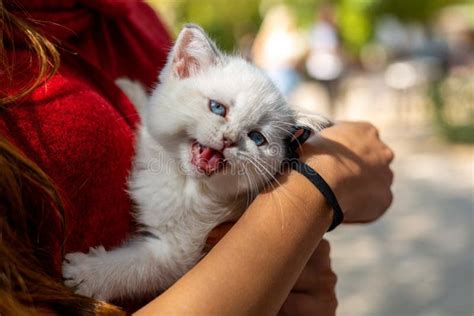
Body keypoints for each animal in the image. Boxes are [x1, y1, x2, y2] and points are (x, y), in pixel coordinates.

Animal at [62, 24, 330, 302]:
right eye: (217, 108)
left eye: (257, 138)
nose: (229, 139)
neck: (183, 180)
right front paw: (129, 89)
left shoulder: (179, 252)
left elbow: (138, 267)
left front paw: (87, 273)